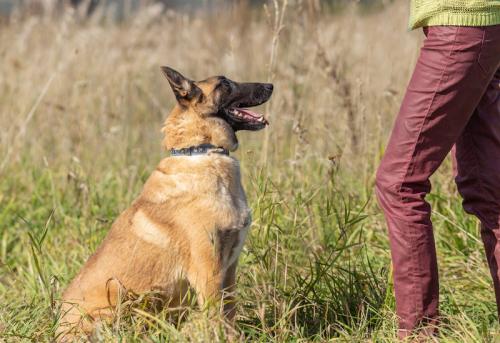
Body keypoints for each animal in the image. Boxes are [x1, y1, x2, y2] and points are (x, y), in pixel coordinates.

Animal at [57, 66, 276, 340]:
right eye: (225, 84)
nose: (271, 86)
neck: (200, 149)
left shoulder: (228, 270)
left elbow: (229, 316)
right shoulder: (208, 271)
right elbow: (216, 319)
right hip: (120, 303)